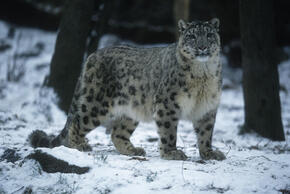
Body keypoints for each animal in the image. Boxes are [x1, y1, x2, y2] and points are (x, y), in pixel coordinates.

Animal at [29, 17, 225, 161]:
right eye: (192, 36)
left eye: (209, 34)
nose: (202, 47)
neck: (203, 74)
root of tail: (92, 55)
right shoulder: (168, 104)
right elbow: (169, 131)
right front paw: (171, 153)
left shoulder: (208, 107)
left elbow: (206, 133)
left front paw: (209, 153)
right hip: (96, 104)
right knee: (78, 122)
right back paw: (79, 145)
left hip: (131, 110)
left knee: (117, 132)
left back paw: (133, 150)